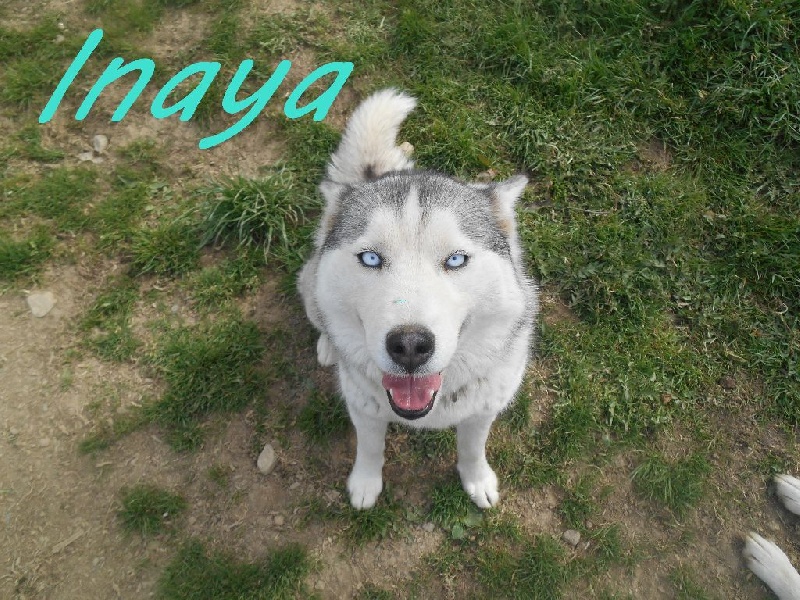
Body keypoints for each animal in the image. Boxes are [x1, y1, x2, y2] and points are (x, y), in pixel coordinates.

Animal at [298, 89, 537, 509]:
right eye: (371, 258)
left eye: (456, 259)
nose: (409, 345)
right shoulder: (364, 410)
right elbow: (370, 448)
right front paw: (365, 484)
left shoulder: (483, 410)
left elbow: (472, 448)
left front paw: (477, 480)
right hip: (308, 285)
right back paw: (328, 344)